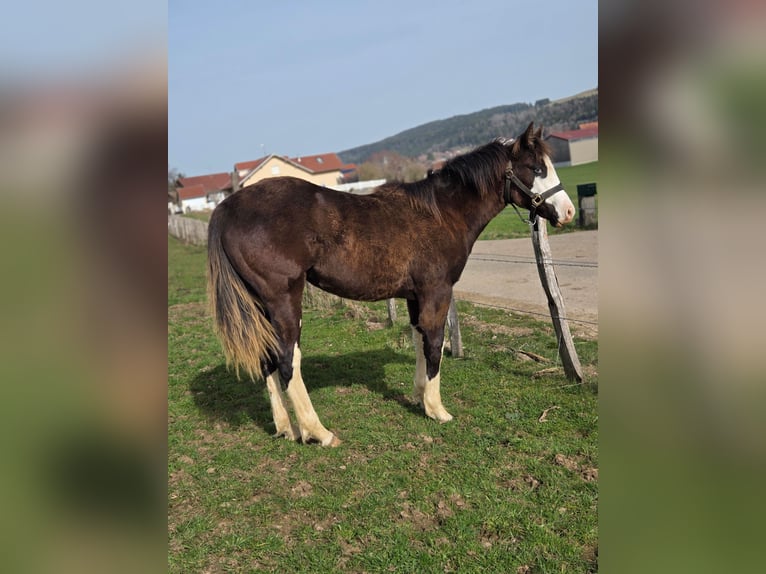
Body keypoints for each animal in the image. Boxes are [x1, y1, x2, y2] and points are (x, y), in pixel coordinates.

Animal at [207, 122, 575, 446]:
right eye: (536, 168)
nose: (568, 212)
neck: (441, 214)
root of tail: (227, 207)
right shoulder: (437, 291)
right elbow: (435, 344)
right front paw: (437, 410)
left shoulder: (415, 295)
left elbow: (419, 339)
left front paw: (418, 397)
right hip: (284, 300)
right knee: (286, 361)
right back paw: (318, 432)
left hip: (259, 305)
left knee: (267, 359)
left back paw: (285, 428)